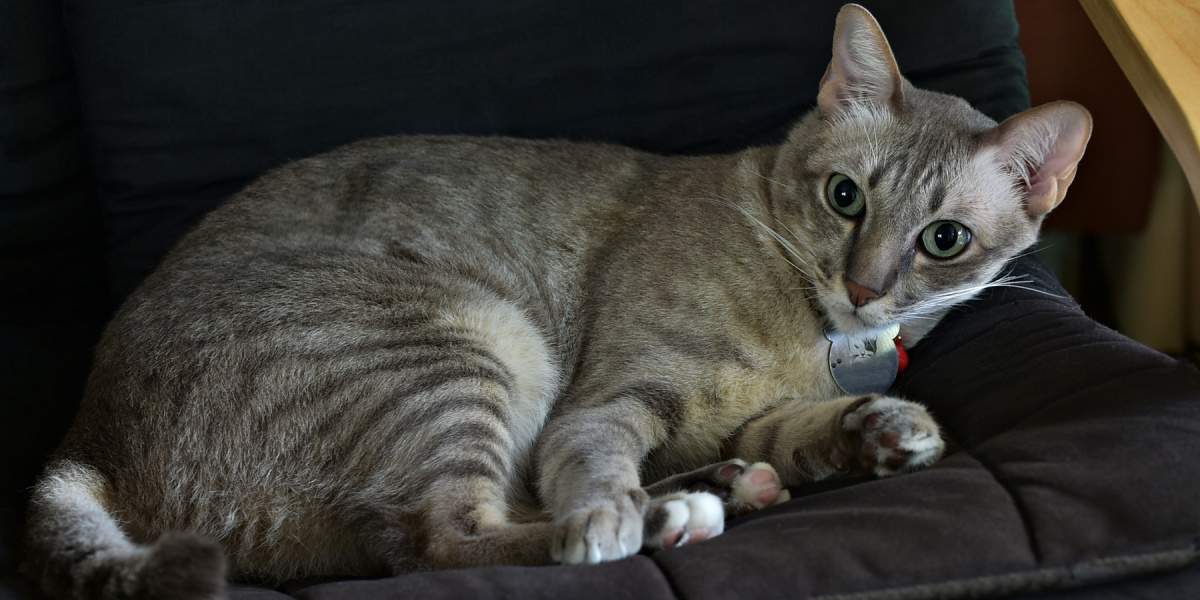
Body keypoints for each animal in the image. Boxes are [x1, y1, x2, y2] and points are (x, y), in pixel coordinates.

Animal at [23, 5, 1094, 600]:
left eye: (943, 239)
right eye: (845, 197)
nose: (866, 286)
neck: (813, 330)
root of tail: (87, 439)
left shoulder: (749, 413)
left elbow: (797, 431)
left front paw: (879, 429)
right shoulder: (604, 402)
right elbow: (589, 466)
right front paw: (628, 509)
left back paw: (719, 491)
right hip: (463, 350)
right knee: (442, 540)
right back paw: (664, 519)